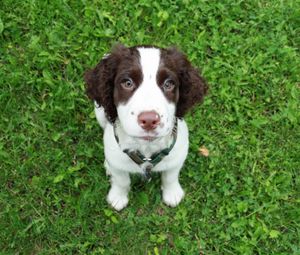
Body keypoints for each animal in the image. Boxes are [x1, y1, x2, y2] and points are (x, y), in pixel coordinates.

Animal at [84, 44, 206, 211]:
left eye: (169, 84)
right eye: (127, 83)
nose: (149, 120)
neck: (146, 147)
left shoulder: (178, 154)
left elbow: (171, 176)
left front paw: (172, 193)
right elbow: (122, 180)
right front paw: (118, 197)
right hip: (100, 113)